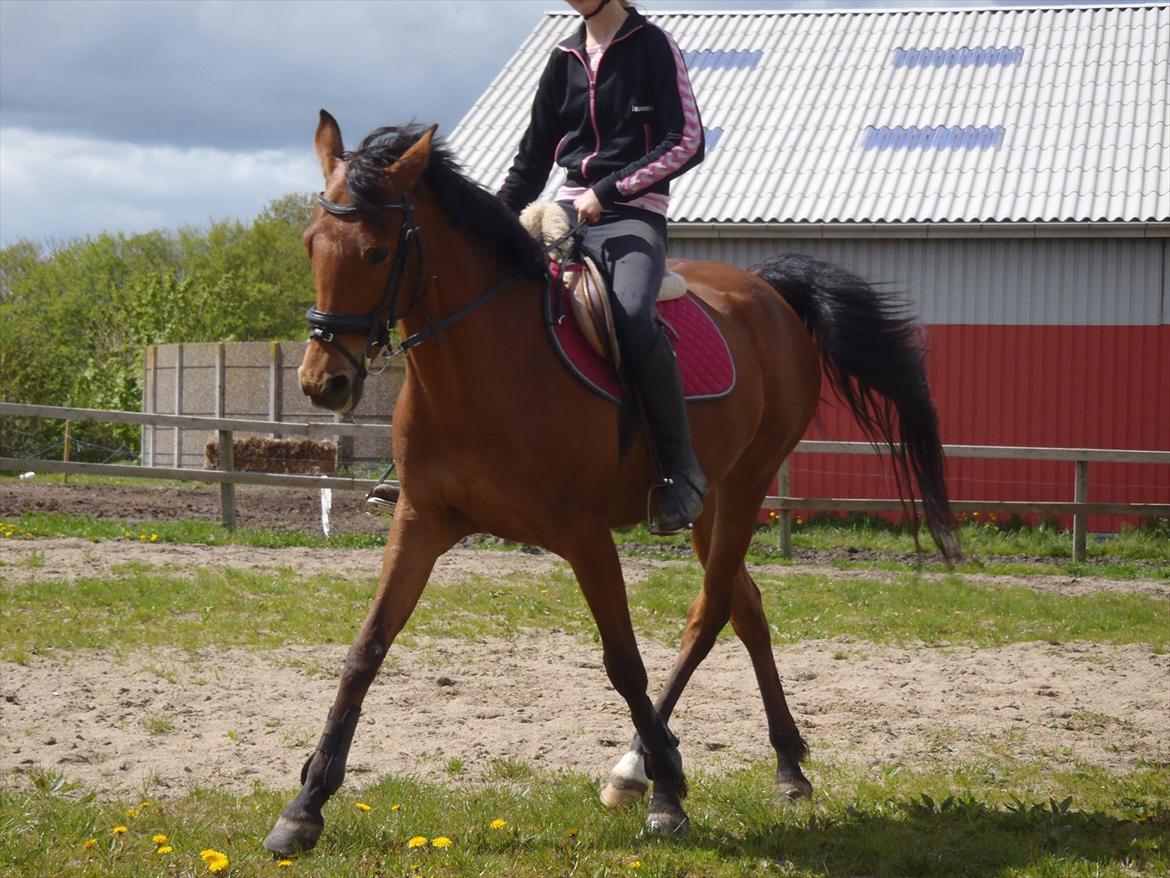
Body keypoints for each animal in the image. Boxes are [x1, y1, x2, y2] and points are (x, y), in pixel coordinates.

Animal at [263, 111, 959, 861]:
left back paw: (639, 769)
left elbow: (623, 660)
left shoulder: (584, 534)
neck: (484, 371)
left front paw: (668, 791)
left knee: (709, 613)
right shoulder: (421, 521)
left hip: (746, 487)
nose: (323, 382)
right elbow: (365, 650)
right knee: (746, 609)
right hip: (707, 504)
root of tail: (767, 290)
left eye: (375, 252)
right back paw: (785, 764)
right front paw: (305, 806)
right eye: (310, 245)